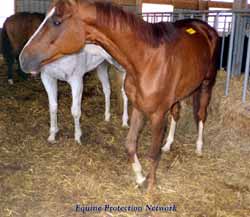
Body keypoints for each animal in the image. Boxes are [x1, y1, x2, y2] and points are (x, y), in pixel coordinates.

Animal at [19, 0, 219, 192]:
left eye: (57, 21)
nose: (23, 58)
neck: (147, 60)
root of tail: (205, 28)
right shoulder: (138, 107)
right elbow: (130, 145)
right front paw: (140, 177)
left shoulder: (157, 115)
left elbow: (153, 153)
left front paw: (150, 187)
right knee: (176, 113)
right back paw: (169, 145)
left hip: (207, 83)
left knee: (201, 115)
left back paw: (199, 147)